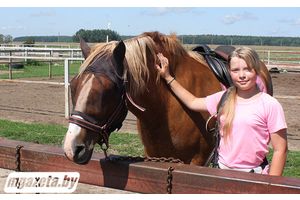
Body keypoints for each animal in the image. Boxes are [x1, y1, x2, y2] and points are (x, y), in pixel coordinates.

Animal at [62, 31, 274, 166]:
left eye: (109, 89)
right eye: (73, 85)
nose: (72, 147)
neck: (167, 106)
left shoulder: (196, 161)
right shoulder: (155, 156)